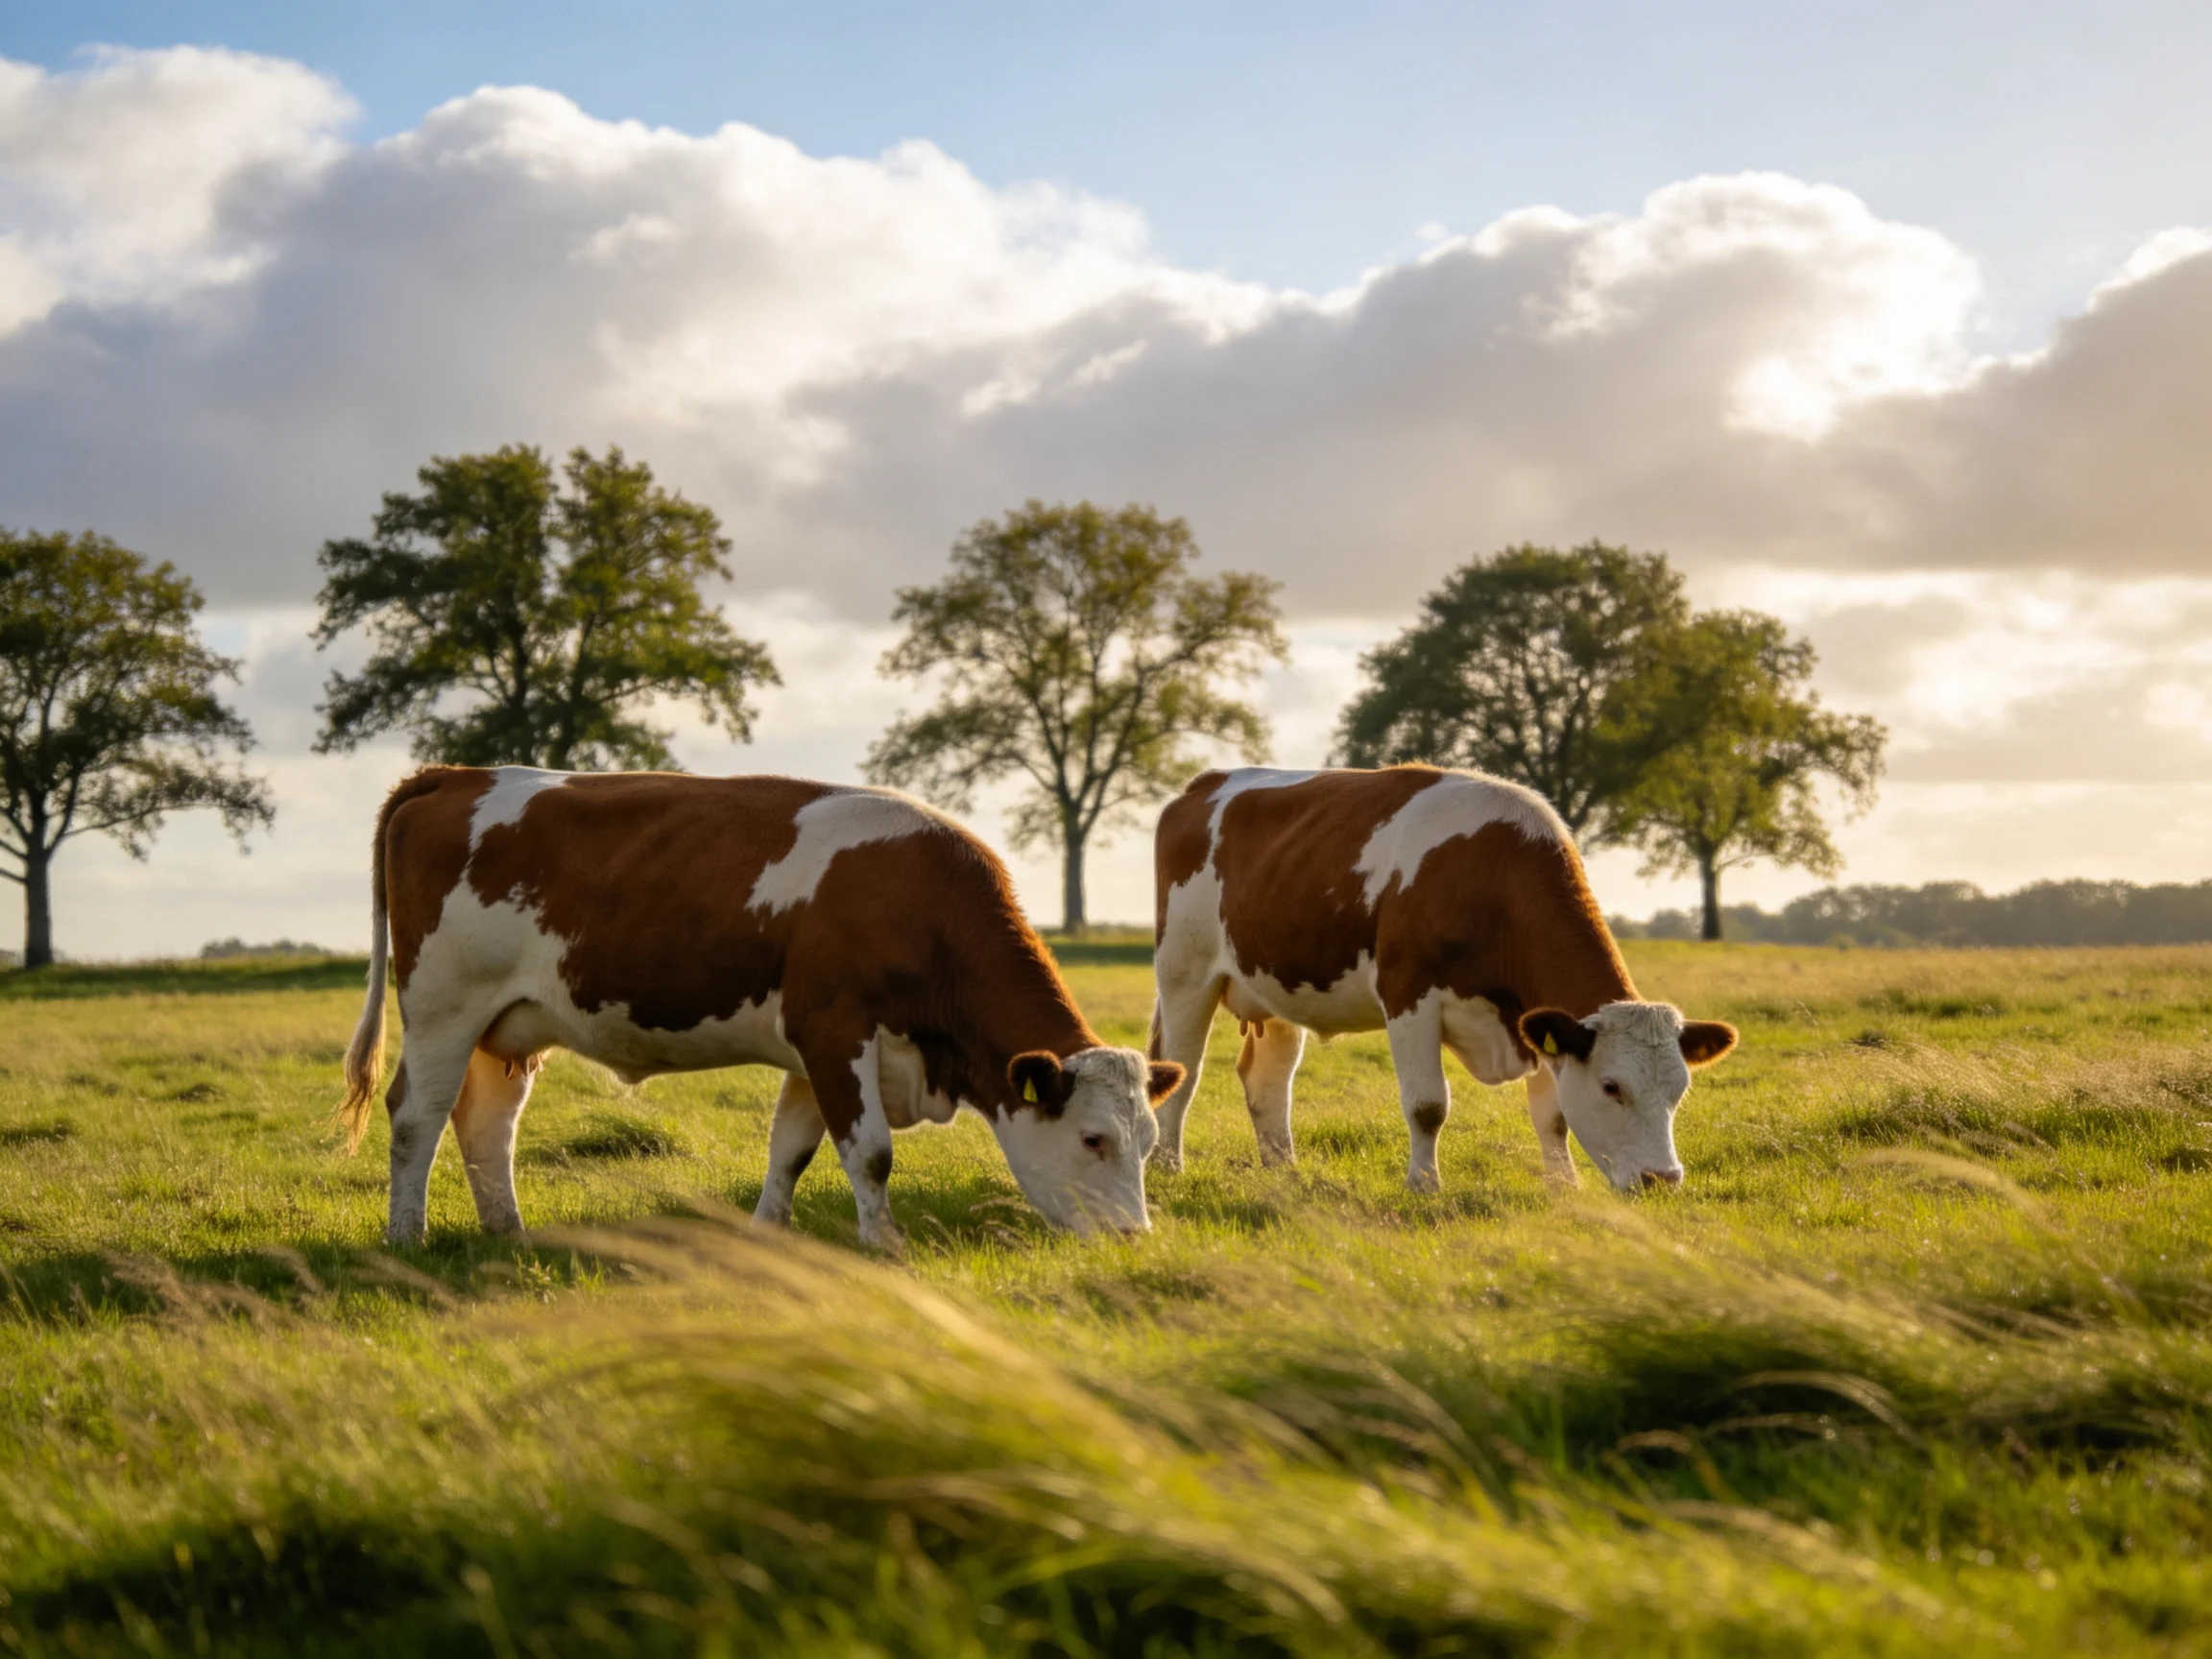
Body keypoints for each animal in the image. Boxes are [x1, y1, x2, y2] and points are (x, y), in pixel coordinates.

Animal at [339, 768, 1183, 1249]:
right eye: (1094, 1139)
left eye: (1148, 1144)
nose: (1134, 1237)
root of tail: (456, 773)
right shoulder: (836, 1031)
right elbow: (870, 1151)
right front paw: (887, 1248)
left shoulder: (815, 1053)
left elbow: (792, 1149)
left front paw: (767, 1233)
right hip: (444, 1006)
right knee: (416, 1116)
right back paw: (407, 1237)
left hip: (507, 1024)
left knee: (487, 1123)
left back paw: (508, 1235)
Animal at [1148, 766, 1737, 1193]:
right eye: (1612, 1087)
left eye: (1680, 1089)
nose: (1663, 1179)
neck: (1492, 877)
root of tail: (1208, 783)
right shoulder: (1409, 996)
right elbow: (1428, 1105)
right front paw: (1424, 1185)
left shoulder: (1535, 1019)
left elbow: (1553, 1116)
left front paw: (1564, 1186)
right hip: (1184, 973)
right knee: (1183, 1070)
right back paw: (1167, 1167)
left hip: (1275, 985)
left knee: (1269, 1080)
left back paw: (1283, 1171)